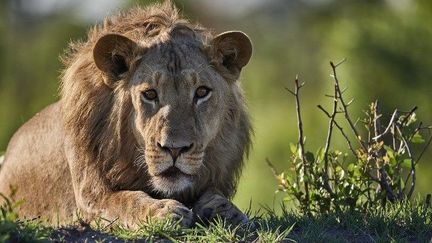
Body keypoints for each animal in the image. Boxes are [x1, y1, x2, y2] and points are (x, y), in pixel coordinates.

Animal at [0, 0, 253, 227]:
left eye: (201, 92)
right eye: (150, 94)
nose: (175, 149)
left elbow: (218, 198)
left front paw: (227, 212)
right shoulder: (92, 197)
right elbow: (127, 200)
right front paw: (163, 211)